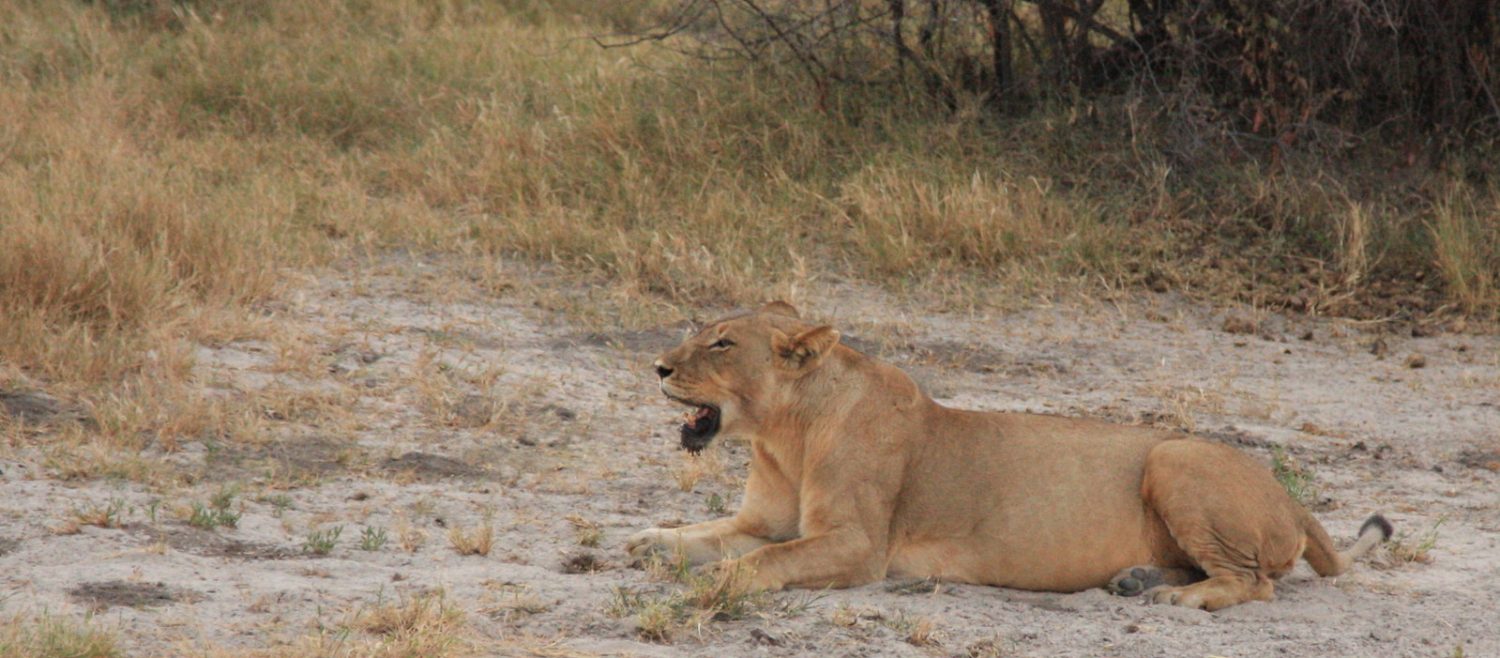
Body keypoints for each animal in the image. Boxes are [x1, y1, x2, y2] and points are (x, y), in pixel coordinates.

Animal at [625, 302, 1392, 611]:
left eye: (722, 343)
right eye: (703, 332)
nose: (657, 367)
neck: (783, 436)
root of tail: (1293, 498)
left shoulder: (859, 545)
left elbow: (766, 562)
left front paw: (717, 582)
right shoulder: (759, 522)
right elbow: (705, 534)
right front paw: (645, 541)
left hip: (1174, 458)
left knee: (1253, 581)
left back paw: (1177, 597)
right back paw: (1138, 579)